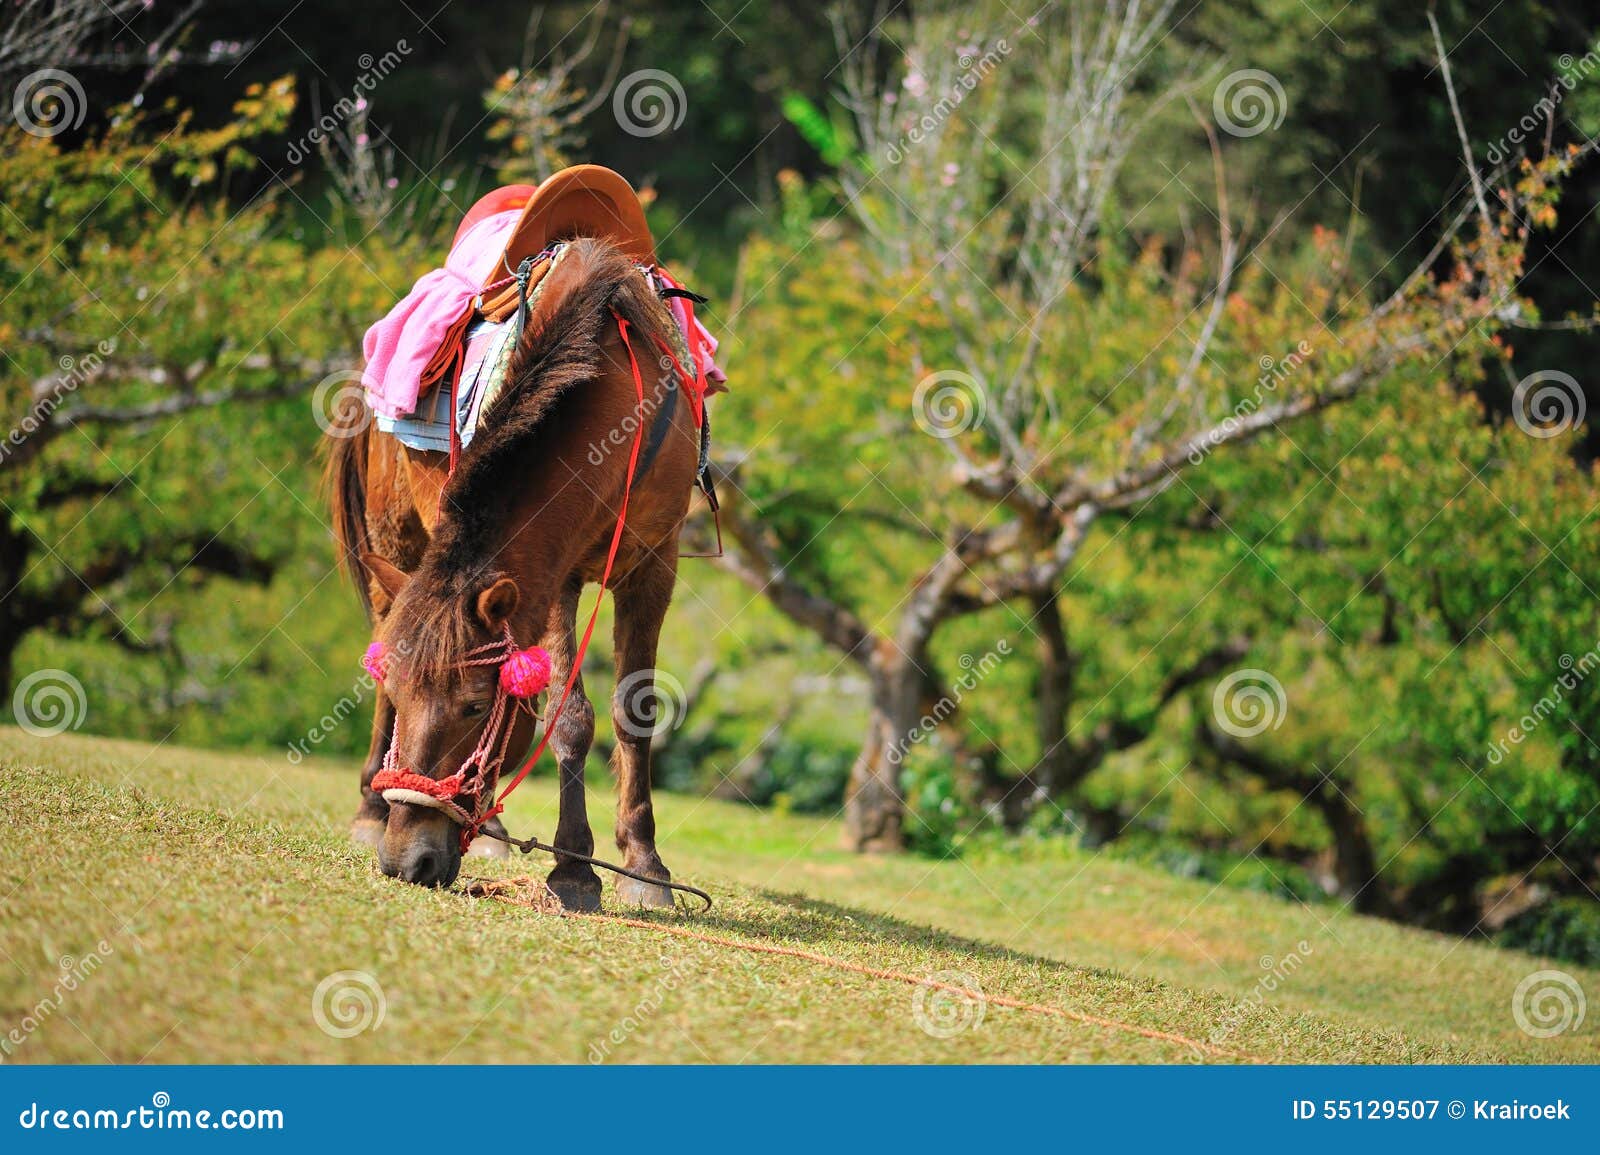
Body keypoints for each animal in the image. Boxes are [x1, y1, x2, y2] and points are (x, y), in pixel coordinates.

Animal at [324, 237, 700, 909]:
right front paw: (574, 868)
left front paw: (643, 865)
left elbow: (634, 709)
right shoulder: (556, 577)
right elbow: (569, 716)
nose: (406, 860)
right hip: (393, 544)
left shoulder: (653, 564)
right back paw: (373, 809)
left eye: (477, 706)